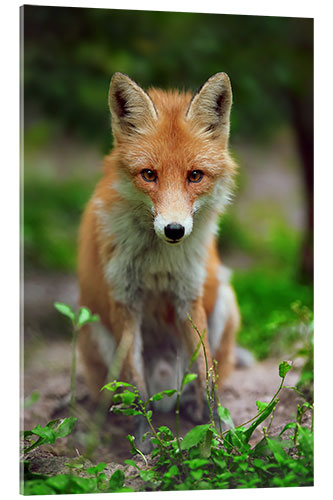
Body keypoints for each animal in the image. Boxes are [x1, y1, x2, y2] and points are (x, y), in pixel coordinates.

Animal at [77, 72, 240, 452]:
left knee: (205, 378)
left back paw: (194, 408)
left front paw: (219, 436)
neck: (158, 261)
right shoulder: (124, 302)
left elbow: (208, 377)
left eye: (195, 176)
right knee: (118, 395)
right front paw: (144, 445)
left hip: (224, 300)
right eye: (149, 175)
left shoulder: (188, 298)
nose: (174, 230)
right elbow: (136, 387)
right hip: (92, 325)